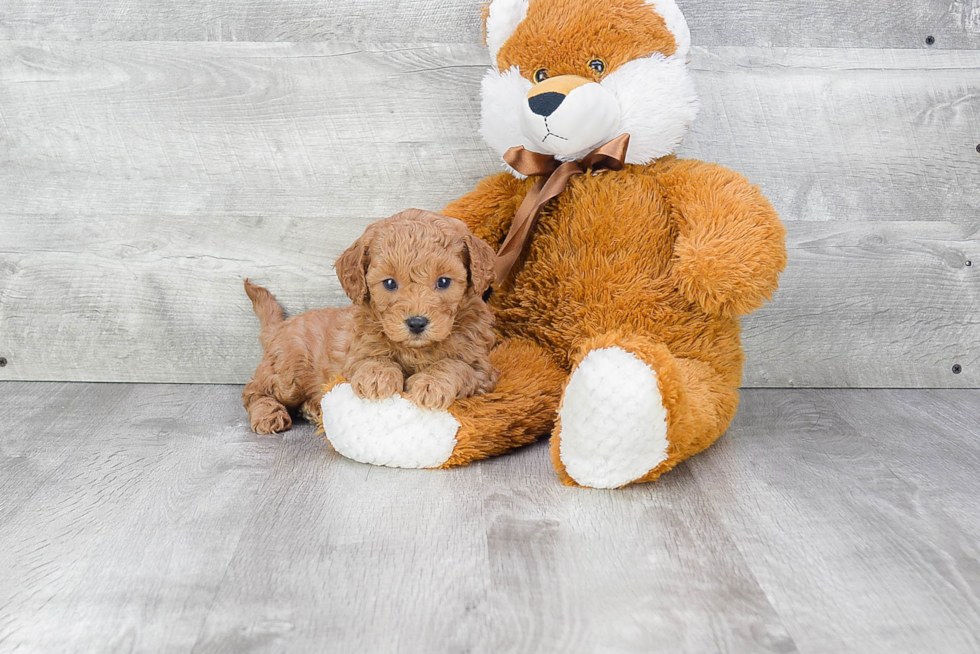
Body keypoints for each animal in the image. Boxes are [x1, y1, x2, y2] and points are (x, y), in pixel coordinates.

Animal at [238, 210, 498, 436]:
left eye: (443, 282)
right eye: (390, 283)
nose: (416, 323)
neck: (415, 350)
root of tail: (280, 327)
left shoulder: (483, 369)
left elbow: (455, 365)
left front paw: (431, 382)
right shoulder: (353, 356)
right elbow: (371, 359)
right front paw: (378, 376)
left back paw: (312, 409)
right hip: (288, 372)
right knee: (253, 391)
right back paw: (268, 415)